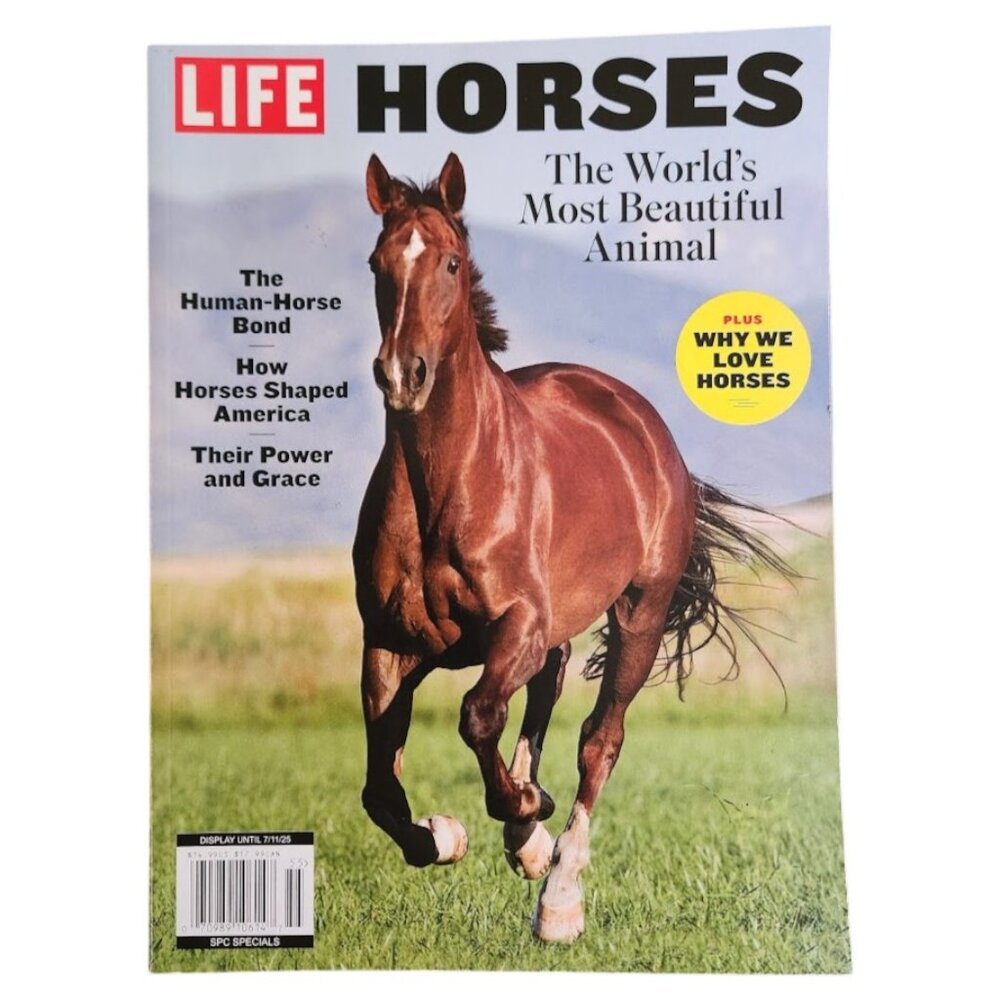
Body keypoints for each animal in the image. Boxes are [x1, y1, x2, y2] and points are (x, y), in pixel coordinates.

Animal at [353, 152, 789, 943]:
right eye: (377, 263)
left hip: (639, 615)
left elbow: (478, 717)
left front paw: (528, 832)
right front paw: (450, 835)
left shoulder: (517, 626)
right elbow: (379, 790)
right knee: (546, 695)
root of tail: (642, 420)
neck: (447, 485)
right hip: (547, 633)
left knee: (597, 738)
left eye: (451, 262)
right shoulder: (390, 644)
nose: (404, 375)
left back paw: (557, 892)